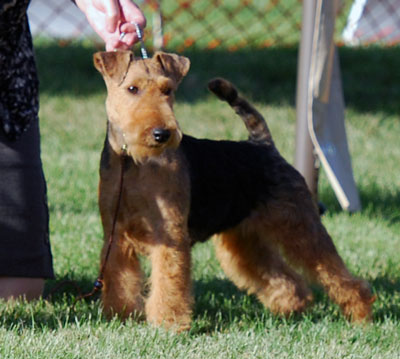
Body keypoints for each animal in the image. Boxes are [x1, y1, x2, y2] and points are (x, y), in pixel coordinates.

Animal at [92, 50, 374, 332]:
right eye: (132, 88)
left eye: (167, 90)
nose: (161, 133)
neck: (131, 163)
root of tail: (263, 145)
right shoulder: (116, 236)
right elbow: (120, 279)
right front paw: (120, 315)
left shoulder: (169, 235)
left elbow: (168, 282)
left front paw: (168, 324)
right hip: (245, 240)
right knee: (285, 277)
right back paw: (291, 309)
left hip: (300, 227)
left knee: (338, 275)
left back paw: (361, 315)